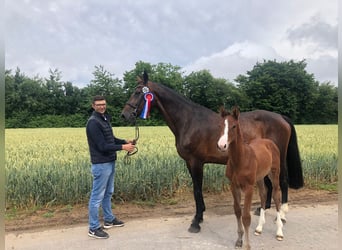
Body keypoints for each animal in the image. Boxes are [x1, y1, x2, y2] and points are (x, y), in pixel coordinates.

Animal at [121, 72, 304, 232]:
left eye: (138, 92)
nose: (124, 115)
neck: (189, 120)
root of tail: (281, 117)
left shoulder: (196, 162)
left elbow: (197, 190)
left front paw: (196, 222)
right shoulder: (190, 163)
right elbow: (197, 190)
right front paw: (200, 216)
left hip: (278, 159)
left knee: (283, 181)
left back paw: (282, 215)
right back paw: (261, 209)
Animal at [219, 106, 284, 250]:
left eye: (234, 126)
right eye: (220, 125)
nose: (221, 145)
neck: (240, 159)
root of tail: (269, 142)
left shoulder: (248, 187)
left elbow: (246, 217)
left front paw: (247, 245)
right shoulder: (234, 186)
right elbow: (238, 211)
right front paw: (239, 240)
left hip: (274, 173)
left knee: (276, 195)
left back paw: (279, 232)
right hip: (259, 177)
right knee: (263, 194)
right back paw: (259, 228)